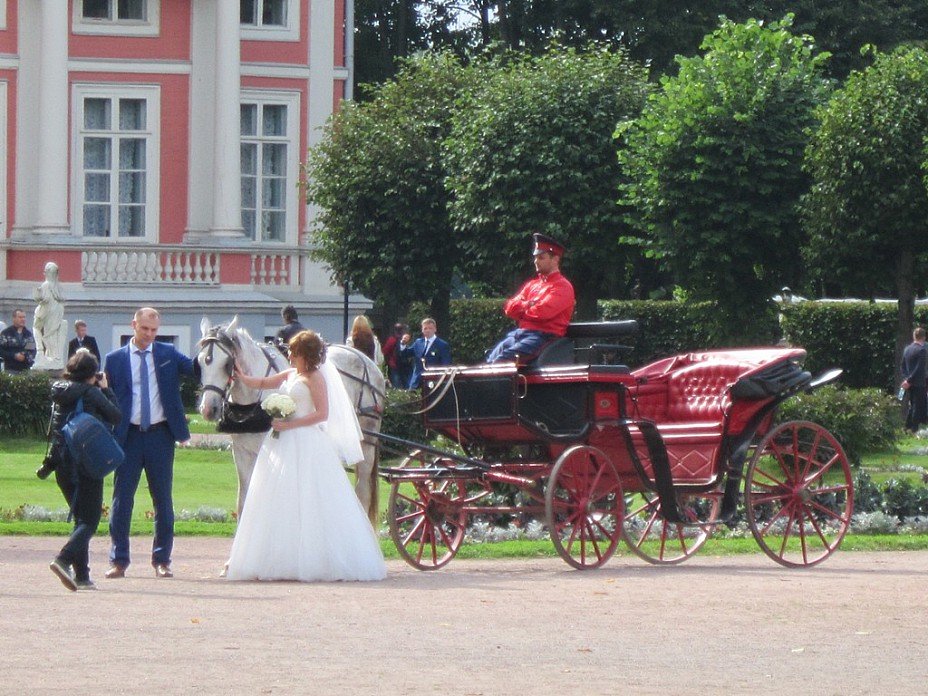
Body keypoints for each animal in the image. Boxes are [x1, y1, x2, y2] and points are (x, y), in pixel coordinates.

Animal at [194, 316, 386, 520]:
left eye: (227, 364)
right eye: (199, 363)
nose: (208, 409)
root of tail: (364, 357)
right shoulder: (241, 452)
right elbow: (244, 501)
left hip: (367, 440)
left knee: (363, 490)